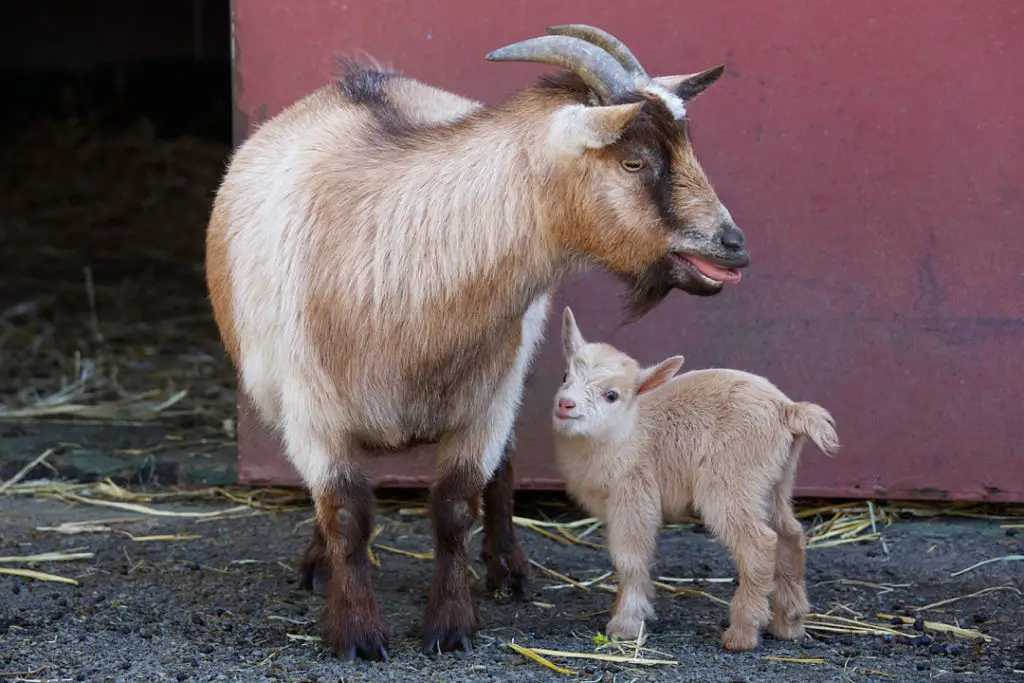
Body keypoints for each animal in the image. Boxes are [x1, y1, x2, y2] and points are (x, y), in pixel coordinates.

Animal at [552, 309, 839, 651]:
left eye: (611, 395)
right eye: (565, 376)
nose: (565, 404)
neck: (626, 430)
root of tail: (788, 410)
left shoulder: (633, 495)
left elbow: (629, 558)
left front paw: (625, 624)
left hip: (730, 483)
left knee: (759, 543)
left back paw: (742, 634)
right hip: (774, 483)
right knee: (789, 535)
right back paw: (789, 624)